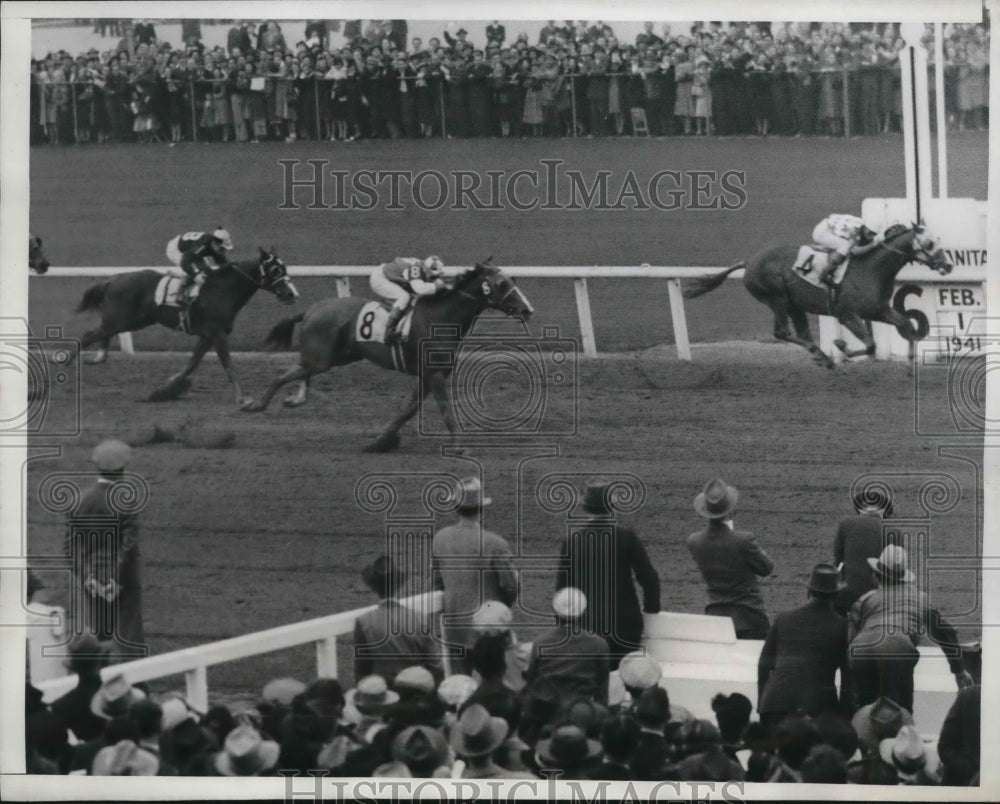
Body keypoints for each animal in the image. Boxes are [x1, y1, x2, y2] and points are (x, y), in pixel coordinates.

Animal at [72, 248, 296, 406]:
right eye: (275, 270)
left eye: (285, 268)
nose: (291, 293)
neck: (222, 290)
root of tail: (114, 278)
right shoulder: (216, 334)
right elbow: (229, 366)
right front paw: (243, 399)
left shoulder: (207, 335)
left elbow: (192, 364)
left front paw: (167, 388)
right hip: (121, 320)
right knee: (88, 335)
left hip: (133, 321)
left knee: (100, 334)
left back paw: (99, 357)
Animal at [242, 260, 536, 452]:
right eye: (502, 284)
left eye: (513, 281)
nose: (528, 309)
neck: (441, 317)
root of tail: (311, 310)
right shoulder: (434, 374)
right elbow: (445, 408)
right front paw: (457, 445)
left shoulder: (429, 374)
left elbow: (409, 408)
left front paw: (382, 441)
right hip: (323, 358)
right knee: (285, 374)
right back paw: (256, 404)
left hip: (338, 356)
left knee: (299, 371)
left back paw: (287, 399)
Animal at [684, 223, 948, 368]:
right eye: (929, 244)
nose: (947, 265)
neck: (871, 269)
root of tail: (749, 262)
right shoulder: (847, 315)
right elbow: (871, 344)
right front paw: (842, 346)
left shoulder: (878, 310)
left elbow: (906, 326)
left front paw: (912, 361)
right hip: (777, 298)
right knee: (782, 332)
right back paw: (823, 357)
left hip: (794, 305)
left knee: (800, 333)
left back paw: (822, 357)